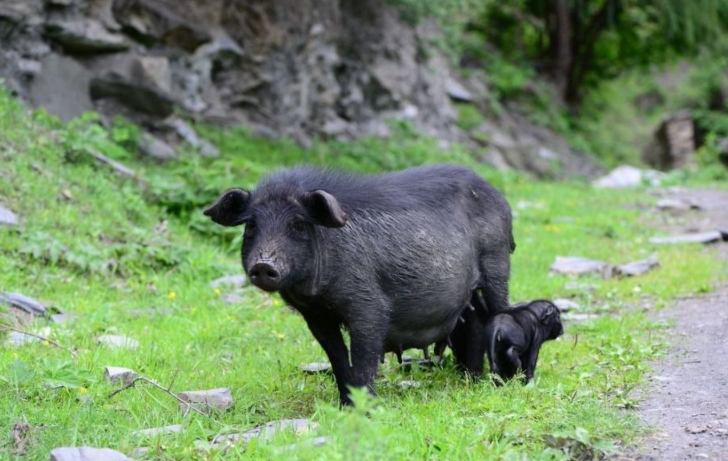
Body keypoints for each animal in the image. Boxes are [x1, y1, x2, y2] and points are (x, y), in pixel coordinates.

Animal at [202, 164, 516, 402]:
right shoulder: (316, 315)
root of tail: (497, 195)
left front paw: (367, 407)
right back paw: (471, 380)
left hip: (497, 262)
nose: (263, 265)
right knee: (474, 321)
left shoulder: (368, 305)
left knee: (499, 311)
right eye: (251, 225)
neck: (316, 293)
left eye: (298, 225)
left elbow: (364, 356)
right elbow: (337, 357)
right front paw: (345, 405)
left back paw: (500, 380)